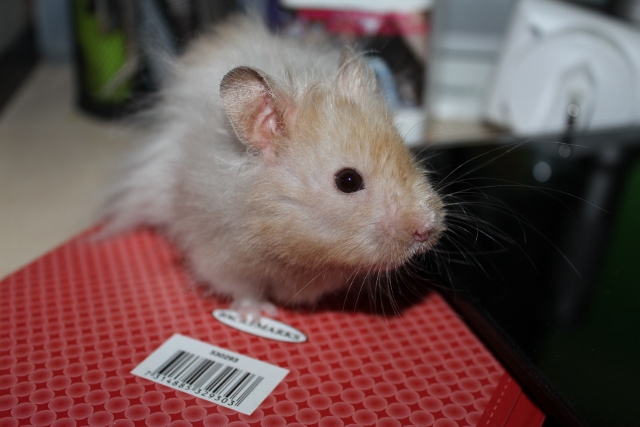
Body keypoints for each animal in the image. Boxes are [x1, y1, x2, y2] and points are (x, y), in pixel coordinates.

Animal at [104, 16, 446, 319]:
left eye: (408, 154)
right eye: (347, 180)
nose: (427, 229)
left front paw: (289, 303)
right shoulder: (217, 251)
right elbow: (242, 288)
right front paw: (257, 315)